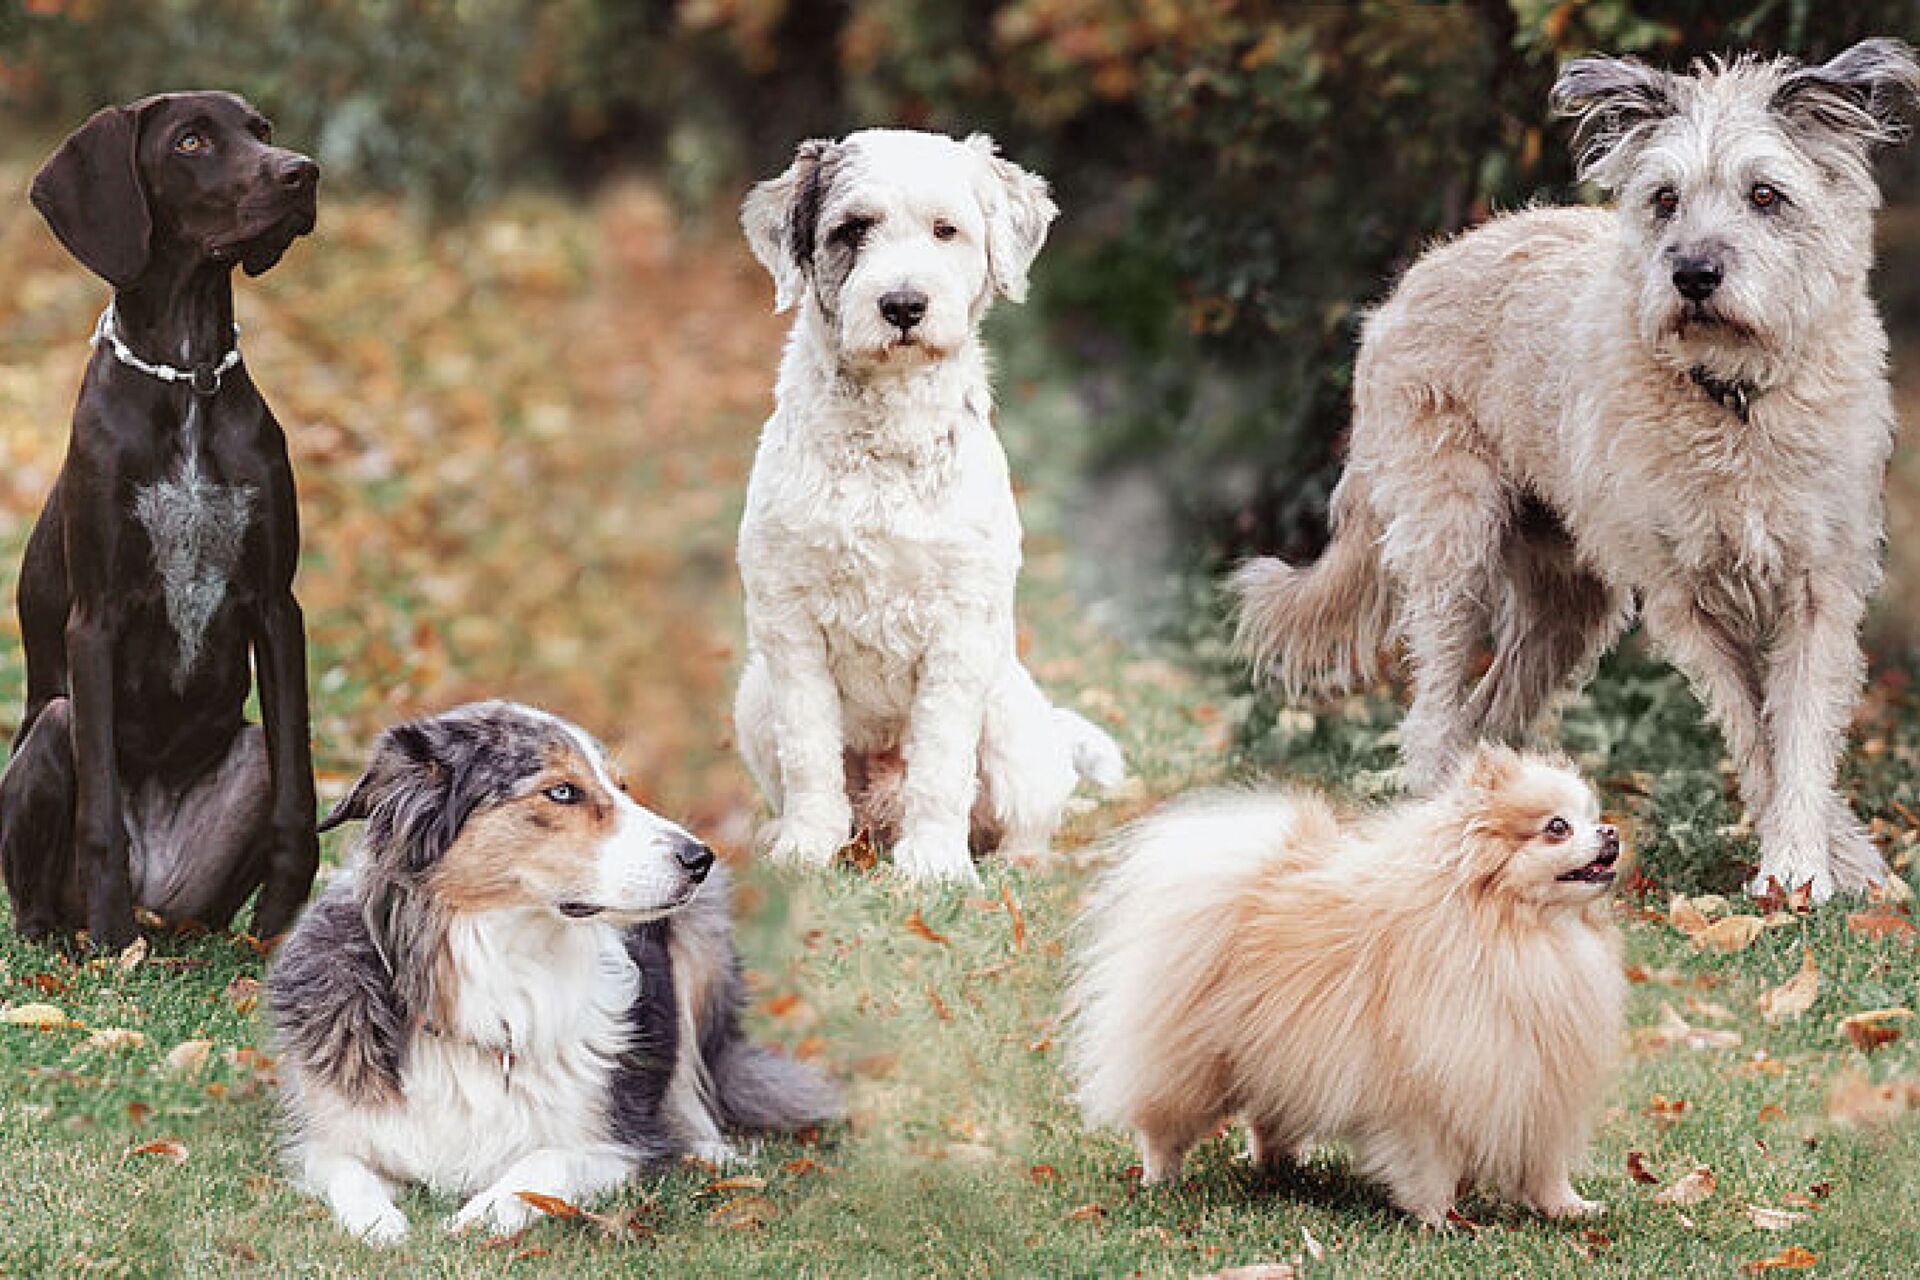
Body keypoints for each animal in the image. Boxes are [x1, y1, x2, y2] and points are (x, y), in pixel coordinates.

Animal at [733, 132, 1121, 890]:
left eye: (947, 230)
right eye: (852, 229)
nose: (904, 305)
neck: (886, 435)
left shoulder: (959, 629)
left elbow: (941, 764)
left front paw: (935, 867)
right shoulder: (788, 627)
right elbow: (810, 754)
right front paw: (804, 850)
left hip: (1014, 727)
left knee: (1025, 817)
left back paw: (1017, 861)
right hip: (753, 692)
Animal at [1228, 40, 1920, 901]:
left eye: (1765, 195)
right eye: (1664, 199)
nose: (1693, 275)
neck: (1732, 403)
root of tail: (1409, 282)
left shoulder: (1819, 589)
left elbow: (1797, 731)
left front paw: (1821, 859)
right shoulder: (1686, 600)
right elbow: (1755, 731)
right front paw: (1798, 868)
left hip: (1567, 605)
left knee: (1488, 717)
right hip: (1453, 553)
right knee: (1434, 715)